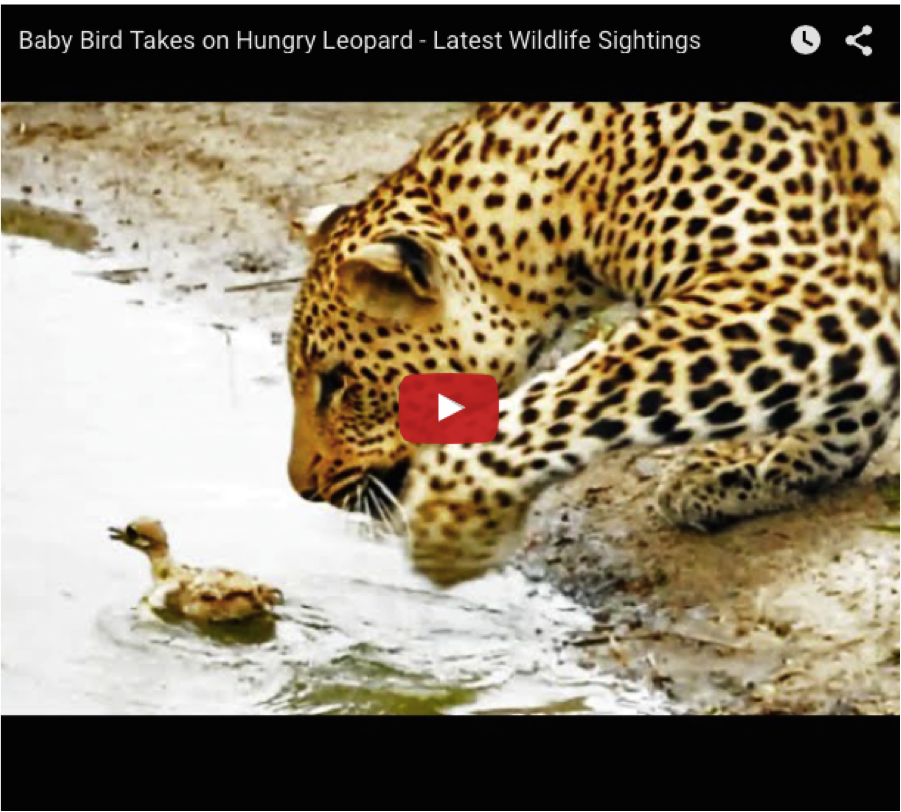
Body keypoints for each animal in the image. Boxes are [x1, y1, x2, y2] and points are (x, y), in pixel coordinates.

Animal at [285, 102, 901, 588]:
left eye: (337, 382)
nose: (303, 490)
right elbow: (852, 406)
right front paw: (763, 466)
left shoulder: (800, 281)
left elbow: (573, 392)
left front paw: (451, 511)